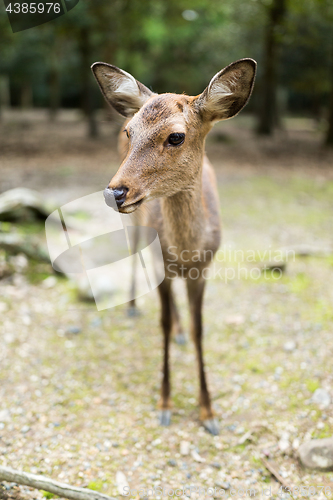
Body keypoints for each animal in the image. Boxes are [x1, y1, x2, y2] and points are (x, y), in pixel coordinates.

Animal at [92, 57, 255, 434]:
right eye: (130, 133)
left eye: (176, 136)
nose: (114, 192)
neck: (186, 250)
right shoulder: (162, 262)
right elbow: (162, 324)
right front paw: (165, 403)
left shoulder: (204, 269)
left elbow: (199, 329)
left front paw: (208, 412)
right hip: (139, 228)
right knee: (134, 254)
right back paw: (132, 306)